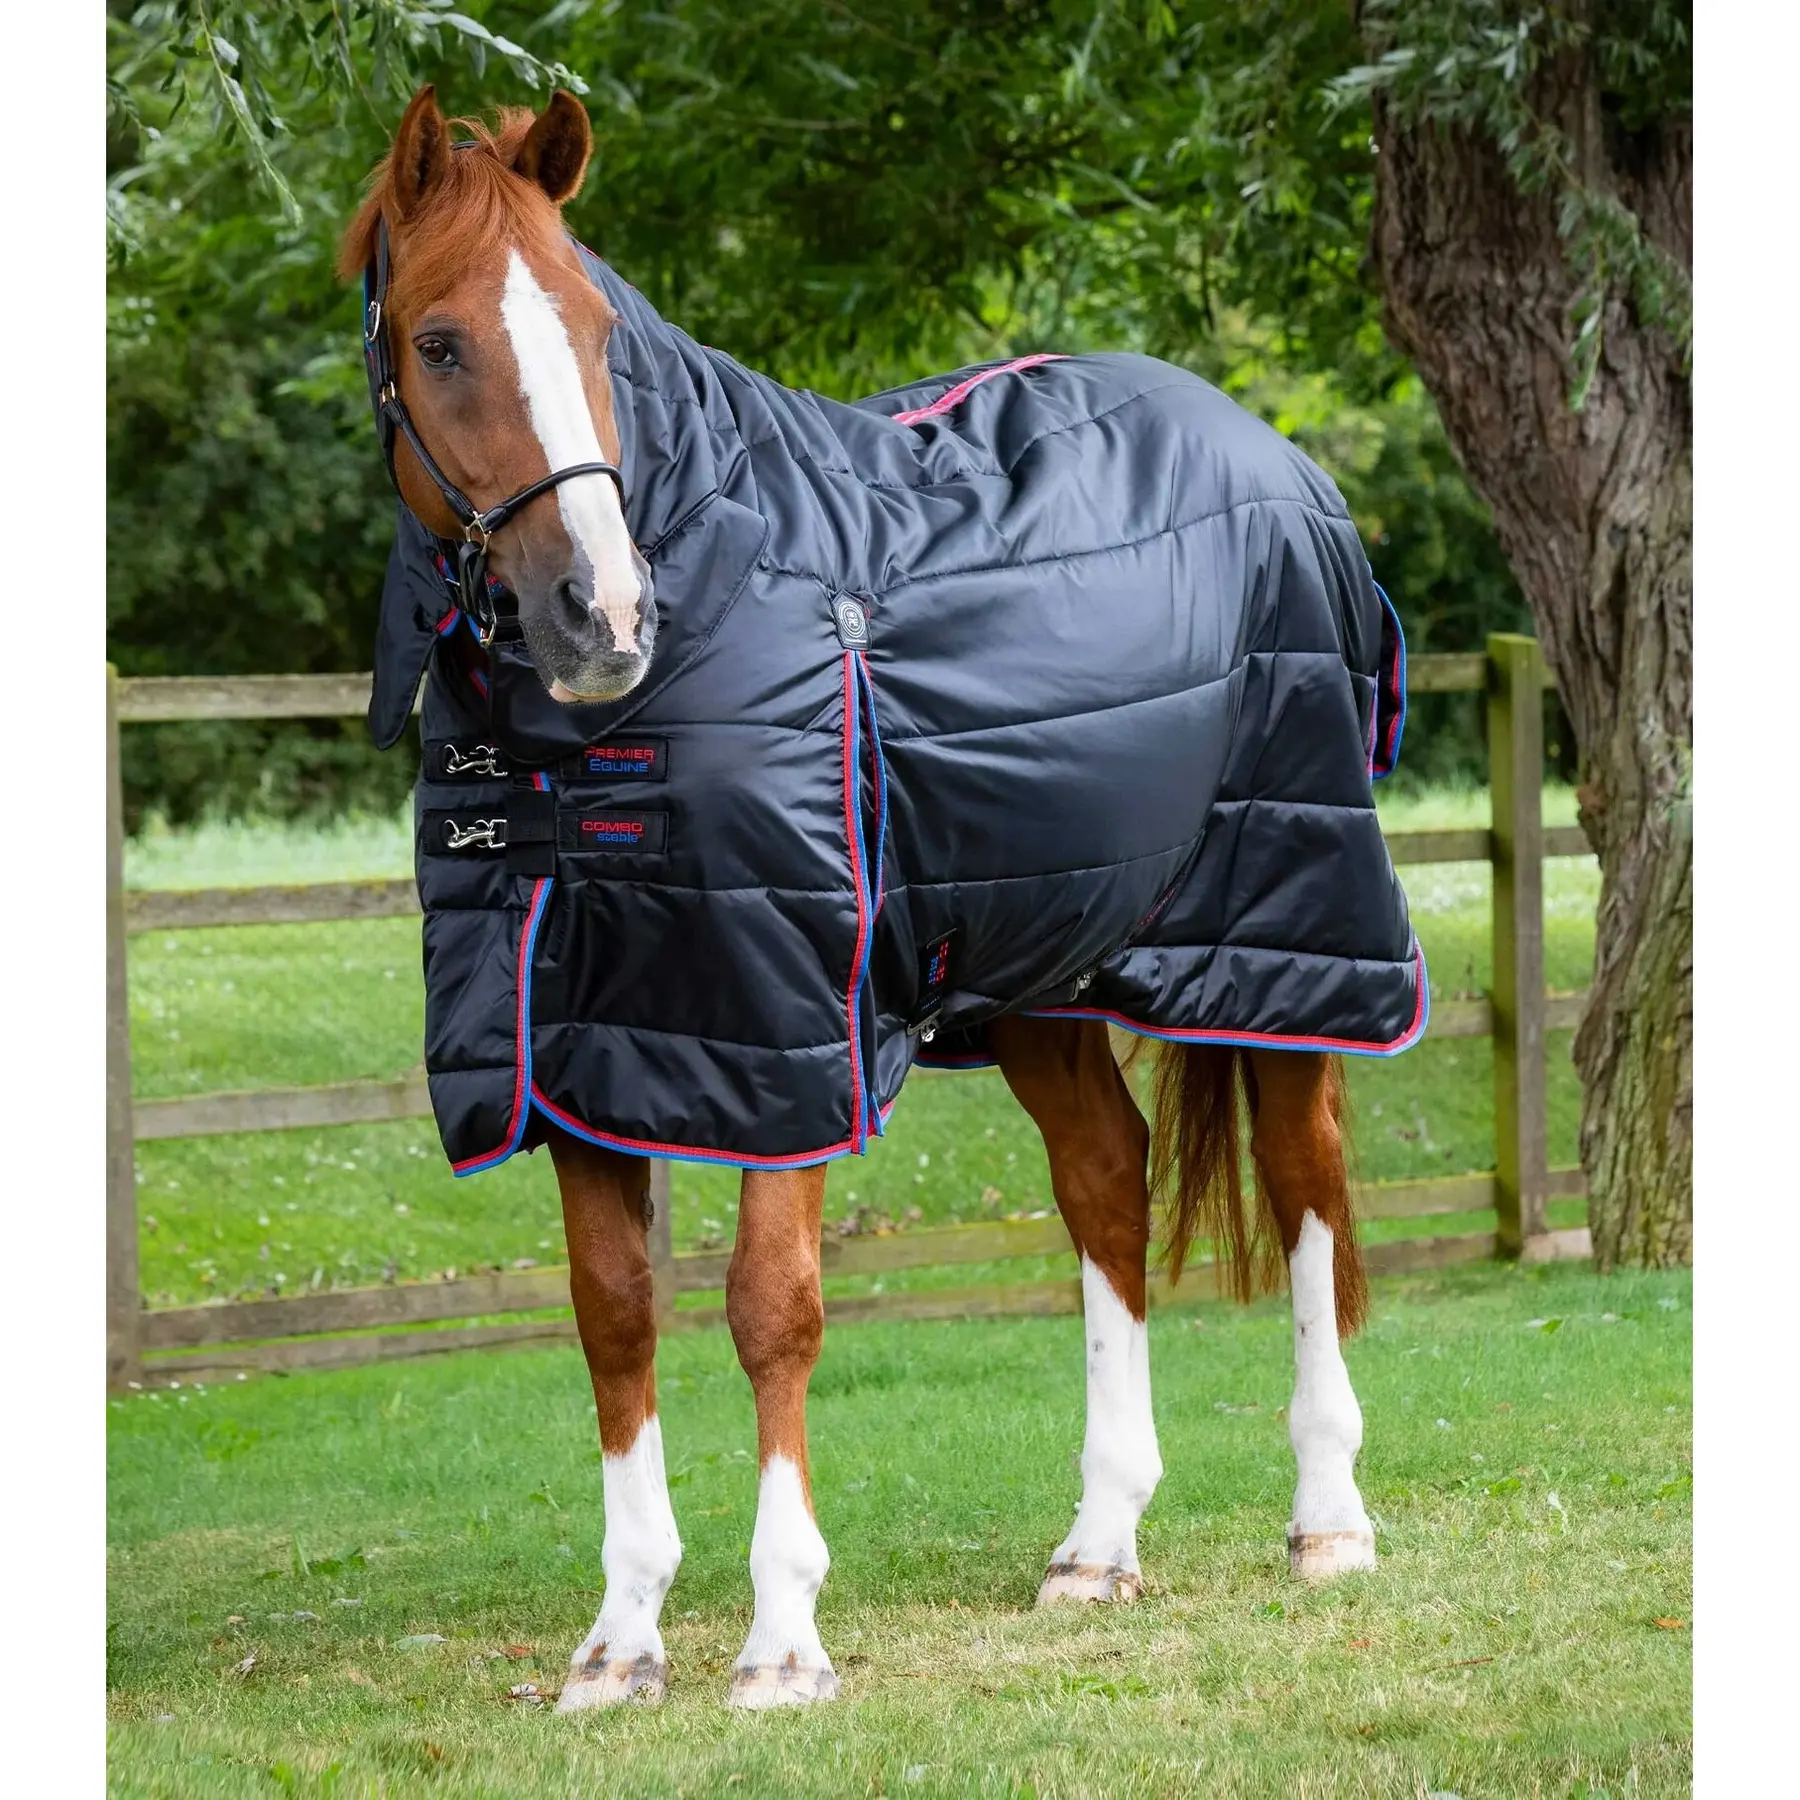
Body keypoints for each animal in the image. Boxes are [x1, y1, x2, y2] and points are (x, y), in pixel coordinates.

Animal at [339, 86, 1397, 1711]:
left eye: (595, 327)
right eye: (441, 342)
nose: (604, 613)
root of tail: (1279, 461)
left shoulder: (792, 1028)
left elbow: (772, 1308)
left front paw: (782, 1640)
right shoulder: (575, 1047)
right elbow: (613, 1315)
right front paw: (618, 1645)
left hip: (1293, 938)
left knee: (1307, 1188)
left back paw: (1329, 1521)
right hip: (1041, 964)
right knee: (1108, 1183)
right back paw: (1099, 1544)